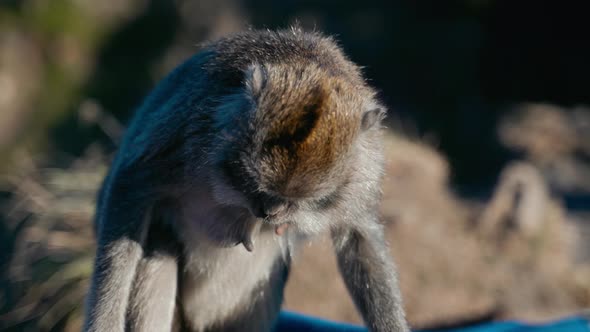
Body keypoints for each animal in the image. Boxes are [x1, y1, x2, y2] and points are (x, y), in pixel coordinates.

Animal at [83, 28, 412, 332]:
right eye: (255, 185)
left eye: (298, 202)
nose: (269, 212)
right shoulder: (190, 130)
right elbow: (131, 185)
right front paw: (104, 322)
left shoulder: (362, 169)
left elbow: (359, 238)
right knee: (158, 250)